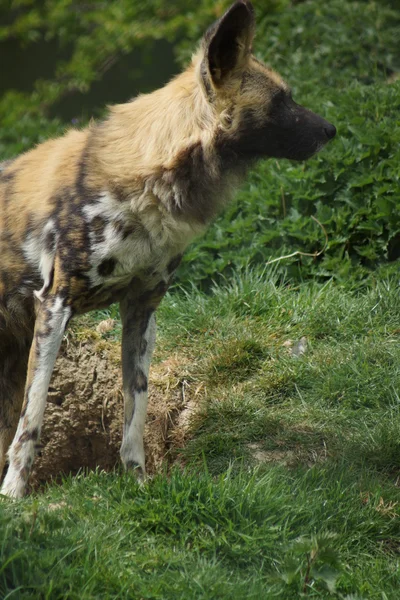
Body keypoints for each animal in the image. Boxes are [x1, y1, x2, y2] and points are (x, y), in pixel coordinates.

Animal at [0, 1, 336, 496]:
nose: (331, 130)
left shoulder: (142, 309)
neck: (150, 185)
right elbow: (33, 420)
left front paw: (138, 485)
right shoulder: (54, 305)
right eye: (281, 101)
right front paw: (15, 497)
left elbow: (134, 414)